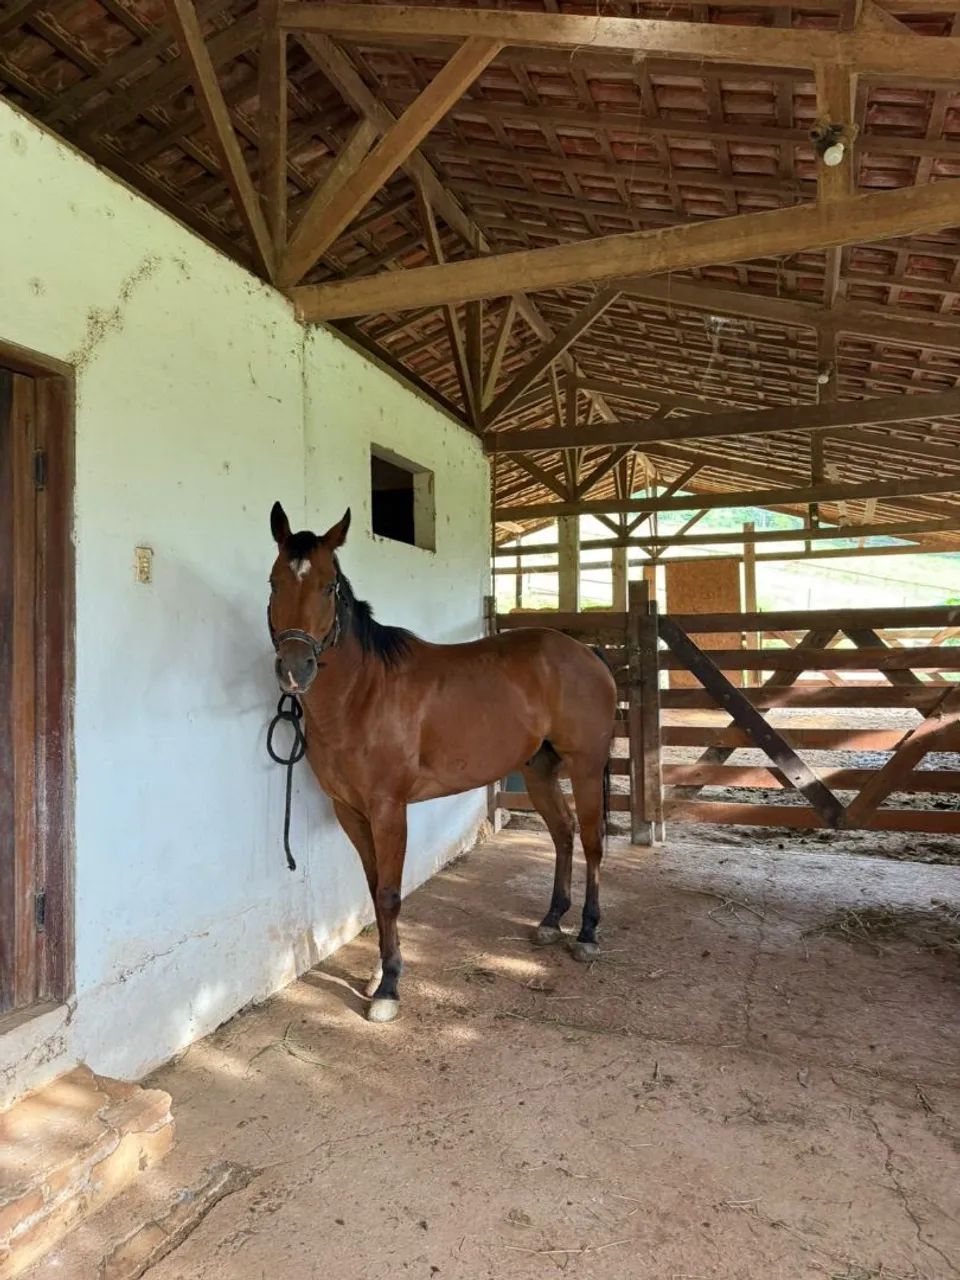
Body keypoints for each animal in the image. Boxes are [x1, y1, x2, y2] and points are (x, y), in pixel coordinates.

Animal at [267, 502, 617, 1023]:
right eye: (274, 582)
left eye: (329, 585)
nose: (295, 669)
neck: (361, 694)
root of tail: (585, 652)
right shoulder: (349, 811)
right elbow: (374, 889)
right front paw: (379, 972)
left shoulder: (389, 810)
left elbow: (390, 894)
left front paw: (389, 988)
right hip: (538, 770)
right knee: (563, 832)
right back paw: (551, 920)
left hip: (586, 764)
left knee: (592, 842)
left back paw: (588, 933)